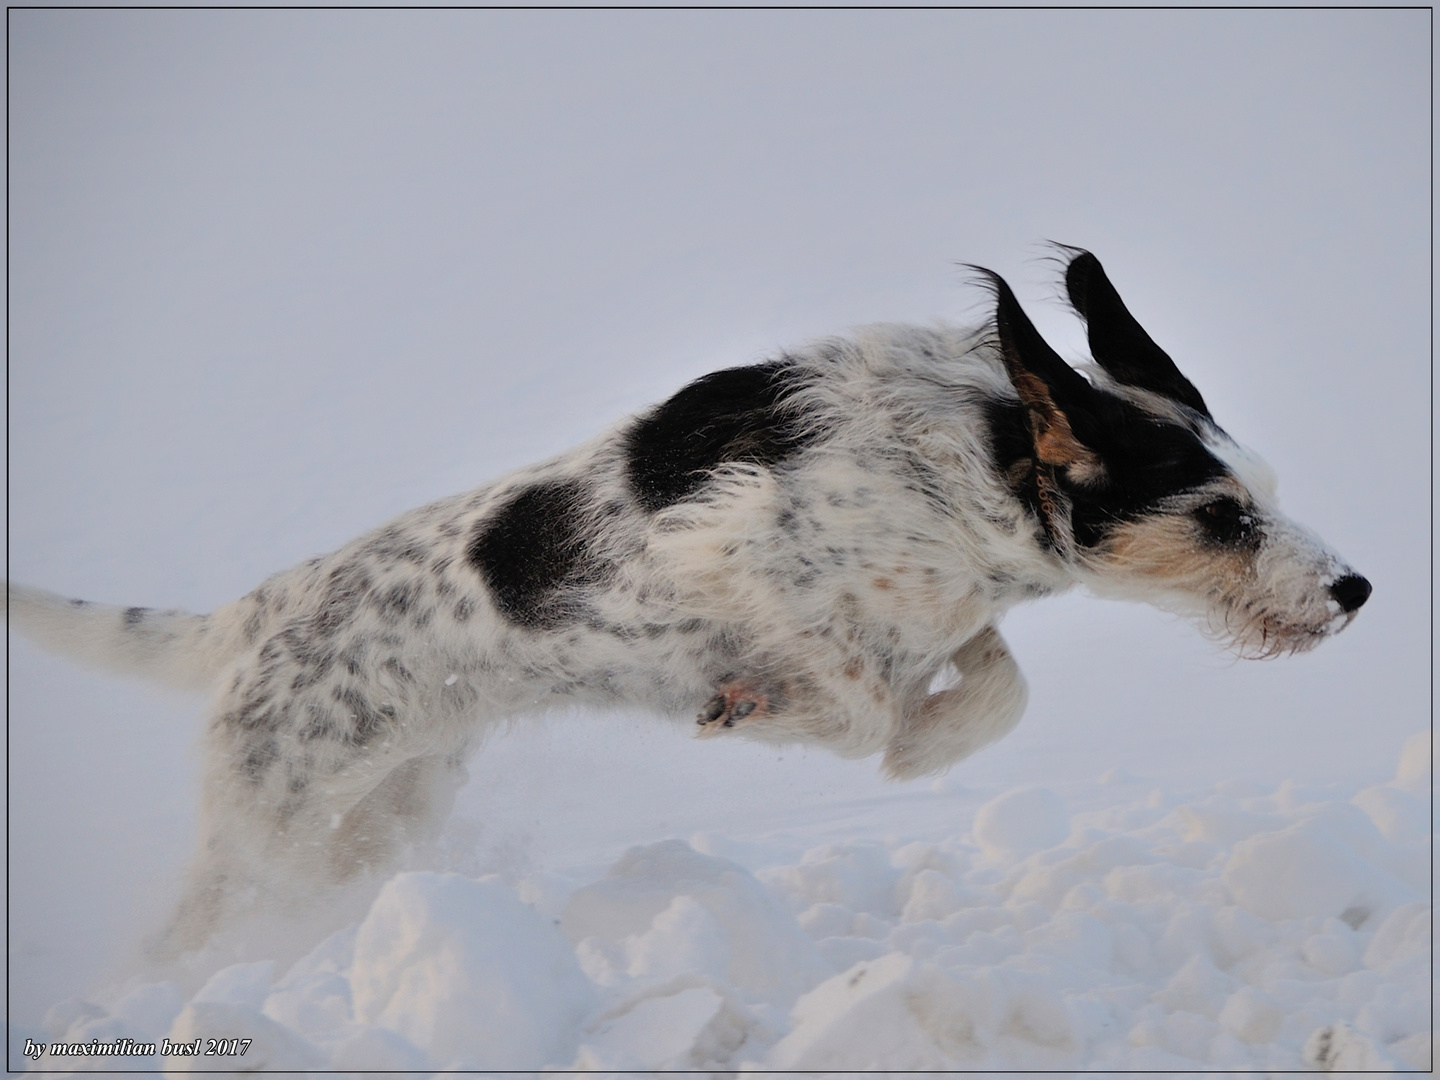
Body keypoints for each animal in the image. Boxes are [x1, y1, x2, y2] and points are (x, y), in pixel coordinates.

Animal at [5, 247, 1365, 956]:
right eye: (1220, 518)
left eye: (1264, 494)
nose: (1356, 588)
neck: (975, 461)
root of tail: (254, 613)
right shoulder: (730, 550)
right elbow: (855, 703)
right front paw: (767, 710)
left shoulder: (947, 611)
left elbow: (992, 685)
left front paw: (926, 744)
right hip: (268, 819)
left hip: (385, 804)